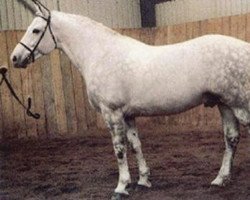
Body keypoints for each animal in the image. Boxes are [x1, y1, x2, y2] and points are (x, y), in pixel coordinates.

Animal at [10, 0, 250, 199]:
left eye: (36, 30)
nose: (14, 58)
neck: (101, 54)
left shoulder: (112, 113)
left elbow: (119, 149)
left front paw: (121, 187)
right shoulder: (128, 115)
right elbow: (135, 145)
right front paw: (143, 180)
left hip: (240, 104)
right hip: (225, 105)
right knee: (231, 139)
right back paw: (220, 179)